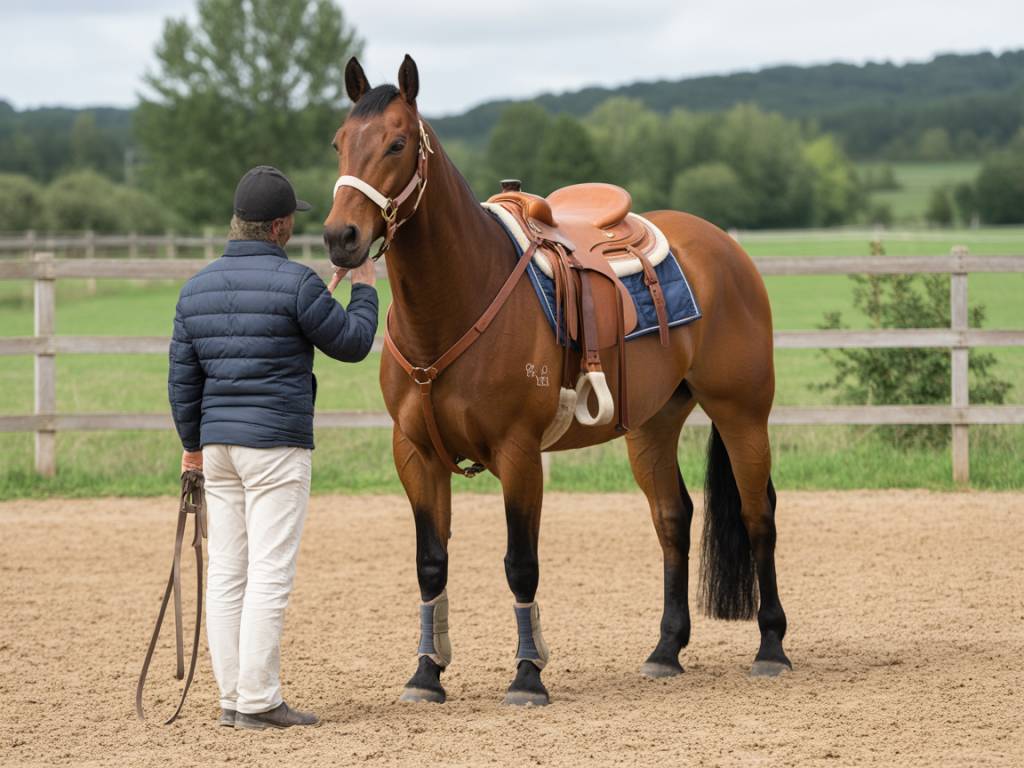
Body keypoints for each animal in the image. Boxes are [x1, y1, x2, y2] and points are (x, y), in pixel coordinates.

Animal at [323, 55, 790, 706]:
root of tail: (725, 247)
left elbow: (521, 563)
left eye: (396, 143)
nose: (340, 236)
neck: (456, 305)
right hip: (652, 424)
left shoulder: (519, 453)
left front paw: (527, 675)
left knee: (756, 515)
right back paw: (666, 650)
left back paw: (770, 646)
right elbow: (430, 563)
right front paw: (426, 673)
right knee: (673, 518)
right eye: (339, 141)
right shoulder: (414, 453)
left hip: (741, 412)